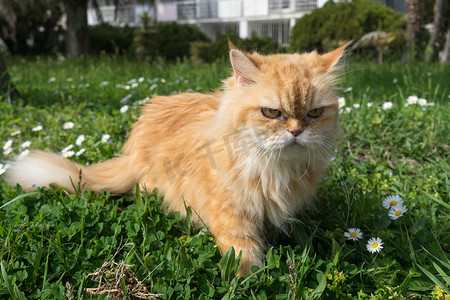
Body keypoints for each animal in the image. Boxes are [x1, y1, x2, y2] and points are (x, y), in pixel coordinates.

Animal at [7, 42, 352, 276]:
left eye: (315, 113)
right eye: (270, 112)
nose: (296, 132)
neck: (273, 167)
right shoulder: (230, 212)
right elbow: (242, 252)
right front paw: (251, 278)